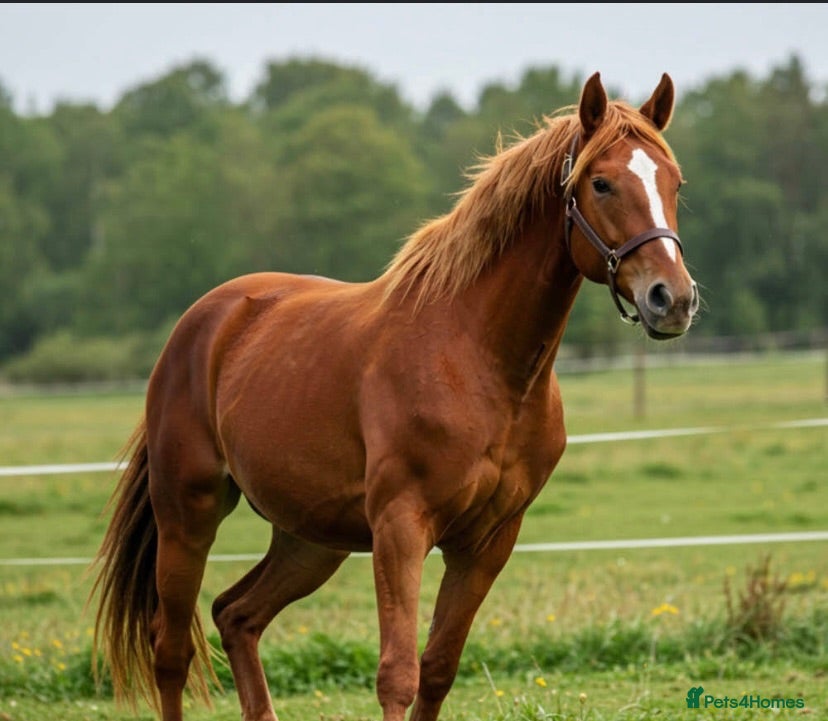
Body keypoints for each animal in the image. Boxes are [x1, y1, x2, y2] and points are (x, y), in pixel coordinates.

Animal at [90, 71, 699, 721]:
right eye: (601, 182)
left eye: (674, 182)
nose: (673, 299)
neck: (479, 361)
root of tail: (202, 323)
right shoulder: (400, 530)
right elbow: (398, 675)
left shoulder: (488, 542)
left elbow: (438, 669)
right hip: (188, 515)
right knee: (171, 650)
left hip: (310, 540)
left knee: (236, 615)